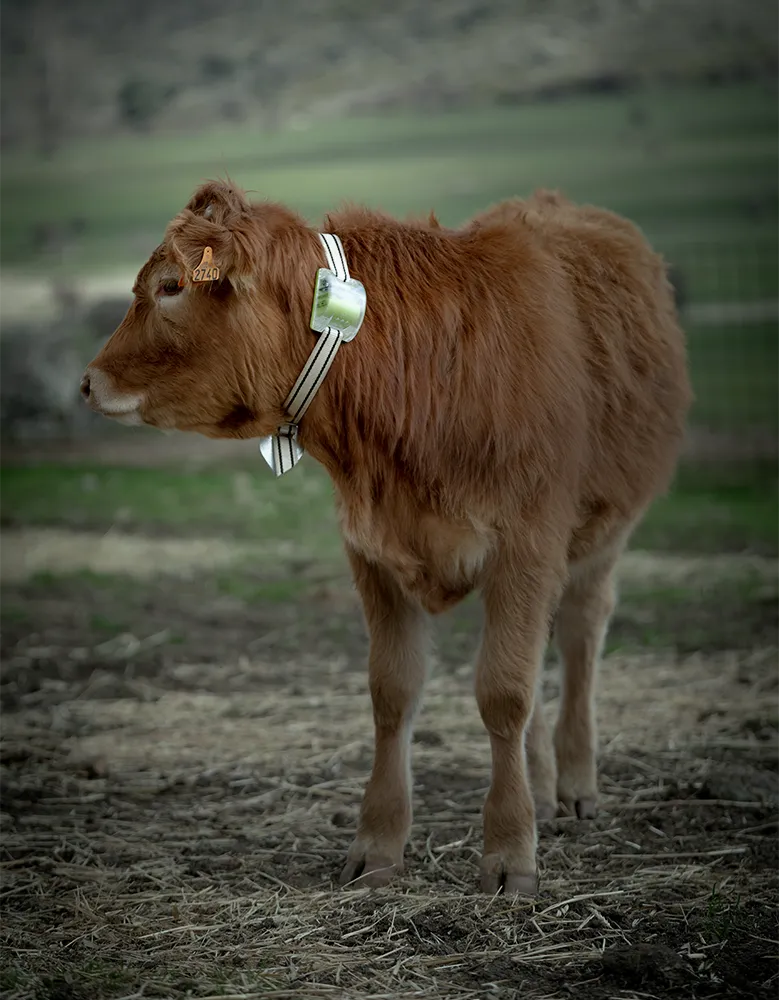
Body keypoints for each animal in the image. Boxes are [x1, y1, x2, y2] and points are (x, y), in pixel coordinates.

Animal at [81, 180, 692, 896]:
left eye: (171, 285)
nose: (88, 381)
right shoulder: (372, 549)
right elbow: (393, 692)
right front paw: (378, 846)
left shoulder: (529, 543)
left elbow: (504, 693)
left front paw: (510, 852)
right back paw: (543, 786)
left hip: (603, 535)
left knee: (580, 634)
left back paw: (574, 784)